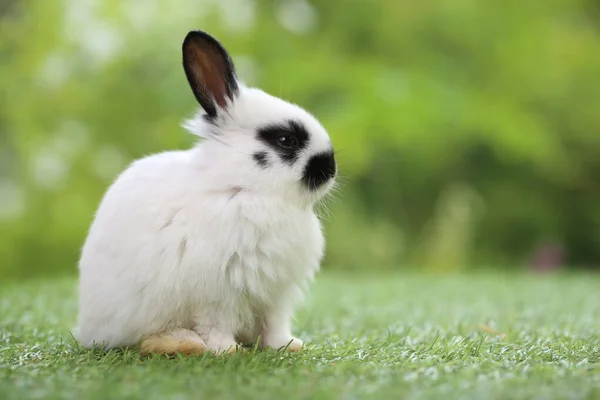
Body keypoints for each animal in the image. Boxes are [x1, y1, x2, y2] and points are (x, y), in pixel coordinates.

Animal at [75, 31, 338, 356]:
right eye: (286, 140)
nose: (331, 168)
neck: (243, 188)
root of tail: (87, 329)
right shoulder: (218, 292)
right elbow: (215, 324)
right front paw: (227, 350)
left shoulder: (274, 295)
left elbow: (273, 323)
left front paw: (287, 346)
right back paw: (184, 343)